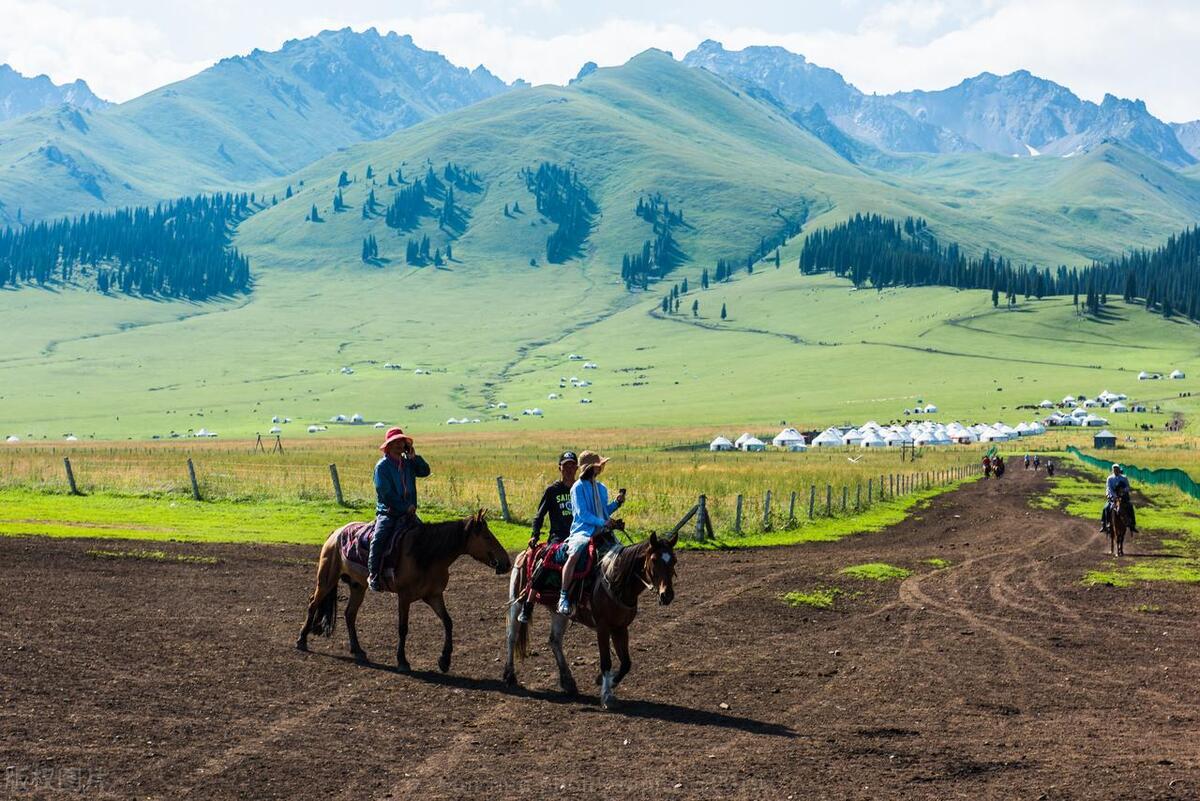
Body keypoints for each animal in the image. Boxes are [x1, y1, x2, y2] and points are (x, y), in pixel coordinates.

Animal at [296, 511, 512, 672]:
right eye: (487, 536)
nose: (507, 563)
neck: (426, 554)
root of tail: (336, 533)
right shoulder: (404, 597)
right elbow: (403, 628)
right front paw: (402, 661)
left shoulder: (433, 596)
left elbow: (448, 622)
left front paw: (444, 660)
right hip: (326, 581)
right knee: (313, 603)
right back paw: (301, 640)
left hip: (358, 586)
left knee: (349, 614)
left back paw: (358, 650)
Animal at [503, 530, 678, 709]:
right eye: (654, 560)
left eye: (674, 560)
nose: (667, 595)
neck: (615, 579)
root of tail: (526, 553)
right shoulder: (603, 627)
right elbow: (606, 661)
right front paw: (607, 695)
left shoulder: (620, 628)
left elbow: (626, 664)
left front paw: (606, 681)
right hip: (517, 601)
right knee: (512, 636)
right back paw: (510, 675)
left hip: (558, 613)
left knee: (554, 641)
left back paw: (568, 682)